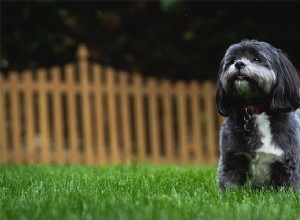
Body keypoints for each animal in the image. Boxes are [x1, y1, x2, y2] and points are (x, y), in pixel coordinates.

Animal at [216, 39, 300, 189]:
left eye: (256, 59)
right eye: (233, 60)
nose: (239, 64)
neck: (257, 110)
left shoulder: (288, 161)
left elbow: (290, 186)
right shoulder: (231, 158)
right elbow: (229, 183)